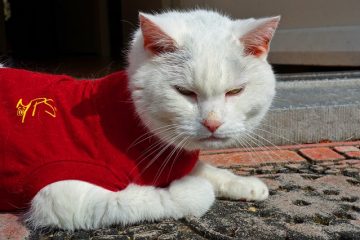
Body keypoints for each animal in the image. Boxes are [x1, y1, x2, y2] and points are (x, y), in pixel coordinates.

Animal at [2, 9, 278, 231]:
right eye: (184, 92)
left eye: (235, 91)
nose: (213, 123)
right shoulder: (63, 198)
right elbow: (153, 199)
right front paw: (193, 187)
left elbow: (208, 169)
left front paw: (244, 184)